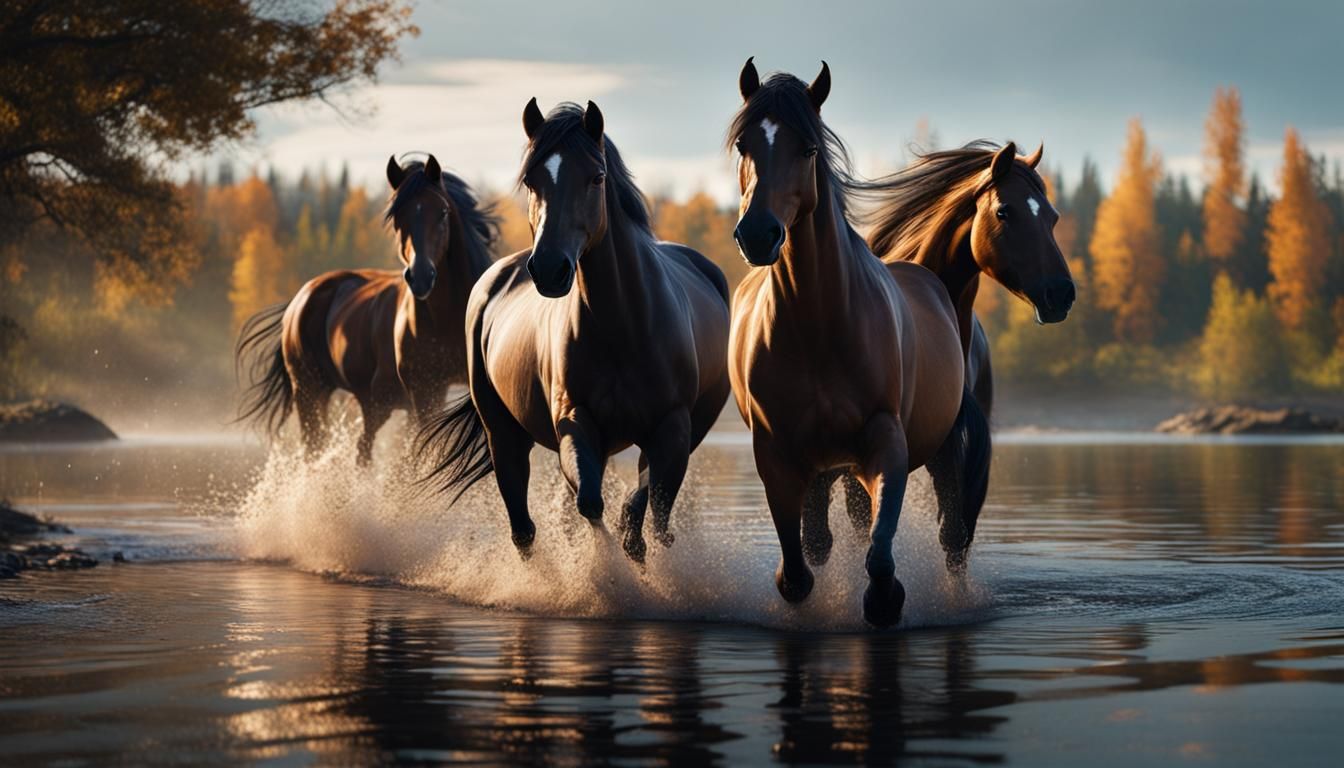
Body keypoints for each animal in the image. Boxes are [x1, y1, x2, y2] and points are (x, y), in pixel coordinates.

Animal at [235, 155, 498, 465]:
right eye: (397, 217)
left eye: (443, 212)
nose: (420, 277)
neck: (448, 320)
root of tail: (299, 300)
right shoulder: (425, 391)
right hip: (312, 391)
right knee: (329, 448)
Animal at [420, 99, 731, 563]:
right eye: (531, 181)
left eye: (596, 177)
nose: (549, 268)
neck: (624, 327)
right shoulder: (574, 421)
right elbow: (591, 504)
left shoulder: (672, 429)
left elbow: (645, 510)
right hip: (503, 435)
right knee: (523, 526)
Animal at [727, 59, 988, 628]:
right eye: (743, 145)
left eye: (807, 148)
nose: (758, 234)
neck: (820, 329)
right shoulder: (777, 455)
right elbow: (797, 568)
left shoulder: (885, 440)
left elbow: (879, 553)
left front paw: (883, 600)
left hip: (936, 451)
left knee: (952, 533)